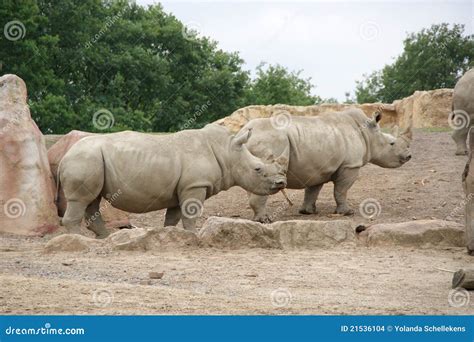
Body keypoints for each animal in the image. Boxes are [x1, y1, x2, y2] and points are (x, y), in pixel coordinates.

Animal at [60, 124, 288, 239]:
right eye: (258, 169)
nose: (281, 183)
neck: (226, 151)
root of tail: (63, 157)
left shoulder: (181, 189)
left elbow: (173, 217)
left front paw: (170, 236)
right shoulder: (195, 185)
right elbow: (190, 215)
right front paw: (194, 236)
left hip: (89, 160)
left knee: (92, 201)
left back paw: (105, 238)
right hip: (84, 159)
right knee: (81, 200)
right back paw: (78, 240)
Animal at [241, 108, 412, 223]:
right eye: (392, 143)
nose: (409, 156)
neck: (368, 134)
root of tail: (247, 130)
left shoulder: (316, 168)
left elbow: (312, 191)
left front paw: (308, 212)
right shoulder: (350, 166)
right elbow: (341, 190)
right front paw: (347, 213)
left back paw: (259, 219)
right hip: (269, 141)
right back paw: (264, 220)